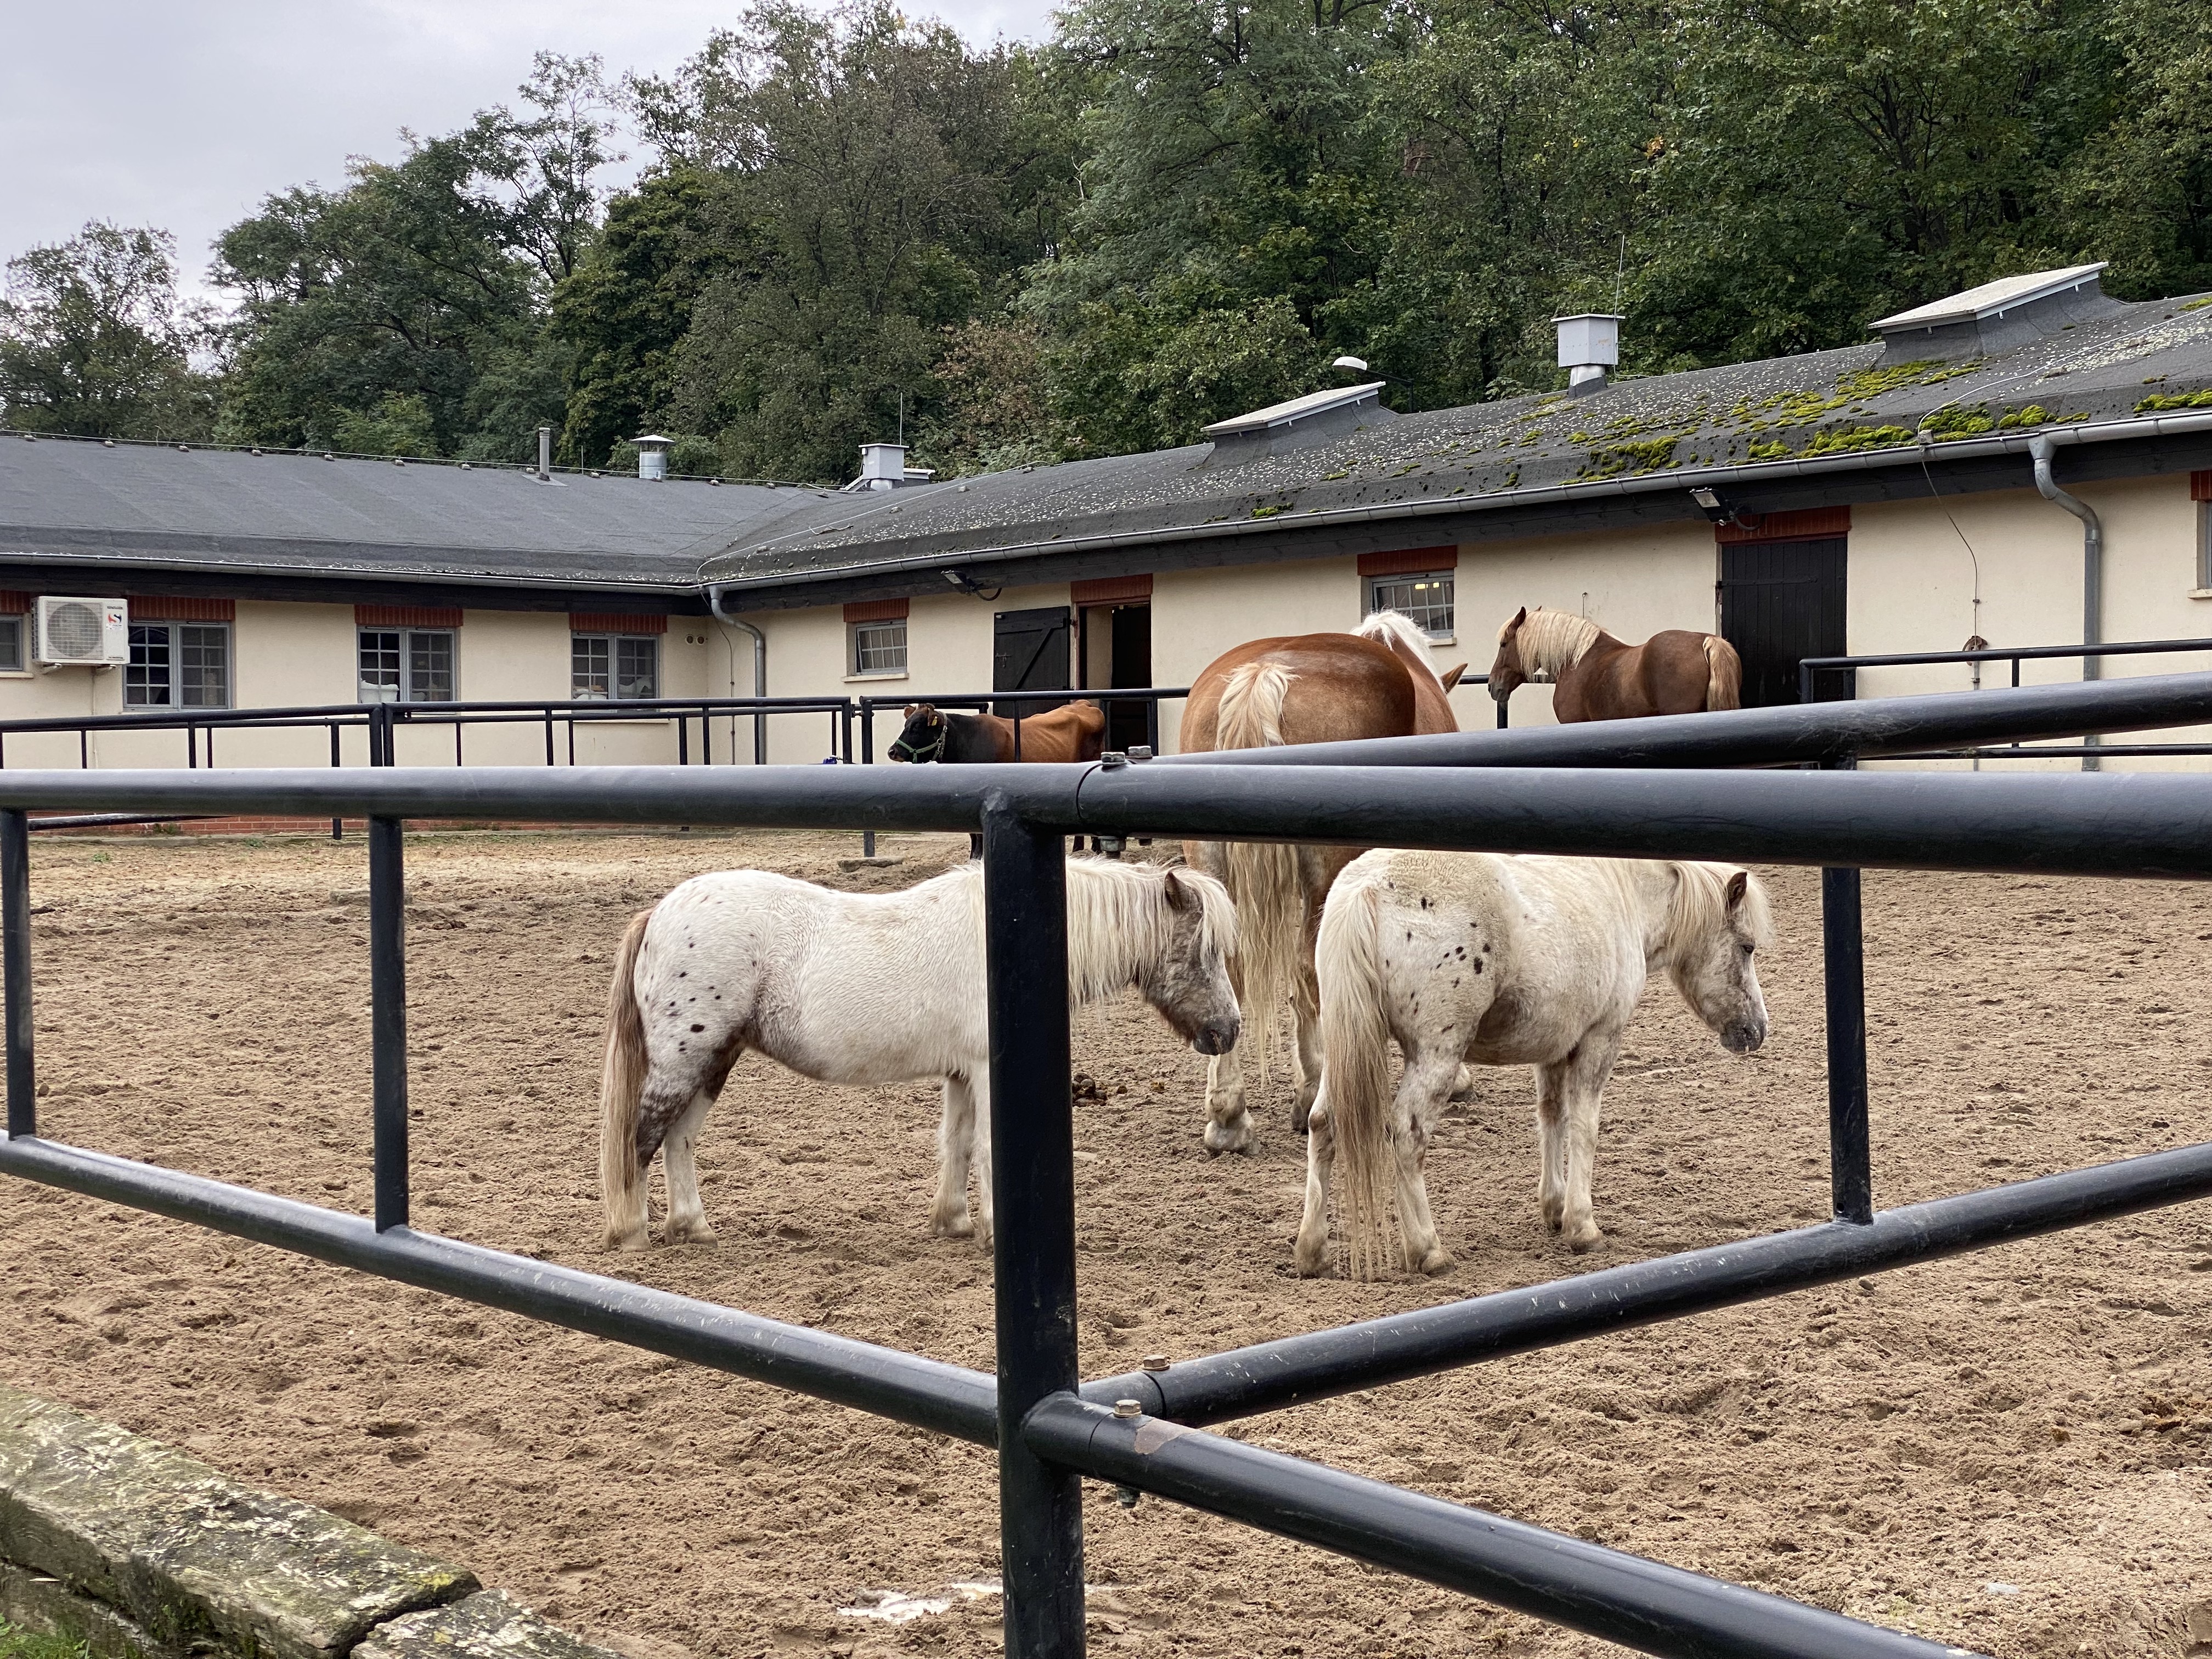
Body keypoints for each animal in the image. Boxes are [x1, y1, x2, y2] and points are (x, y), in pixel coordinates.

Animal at [597, 862, 1238, 1256]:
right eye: (1203, 953)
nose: (1229, 1030)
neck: (1006, 945)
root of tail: (659, 914)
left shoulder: (960, 1073)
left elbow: (956, 1143)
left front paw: (954, 1221)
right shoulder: (985, 1069)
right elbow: (988, 1148)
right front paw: (993, 1234)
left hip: (714, 1061)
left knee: (678, 1140)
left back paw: (694, 1227)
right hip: (686, 1060)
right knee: (643, 1138)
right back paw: (633, 1234)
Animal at [1177, 610, 1469, 1159]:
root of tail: (1265, 673)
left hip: (1214, 870)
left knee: (1231, 970)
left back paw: (1229, 1117)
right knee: (1311, 971)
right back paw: (1312, 1092)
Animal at [1291, 849, 1778, 1283]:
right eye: (1747, 947)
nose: (1756, 1030)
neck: (1622, 895)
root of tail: (1369, 887)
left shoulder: (1555, 1050)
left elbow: (1552, 1118)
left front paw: (1555, 1208)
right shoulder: (1600, 1040)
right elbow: (1585, 1127)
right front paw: (1583, 1226)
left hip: (1346, 1046)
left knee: (1323, 1123)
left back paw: (1313, 1252)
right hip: (1436, 1055)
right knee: (1408, 1135)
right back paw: (1428, 1251)